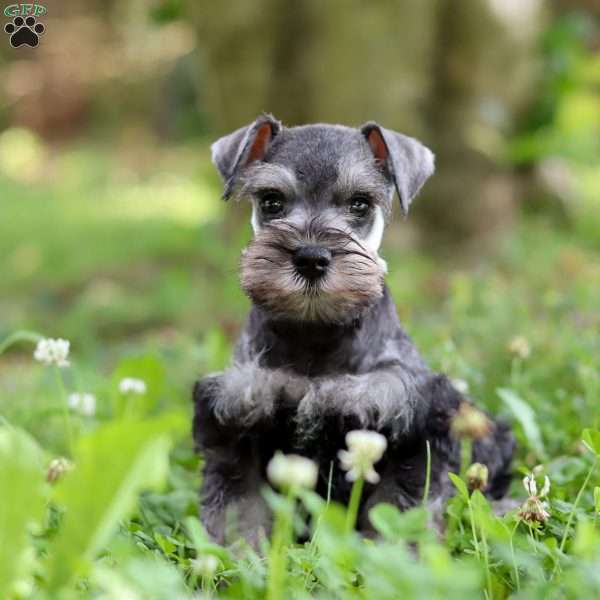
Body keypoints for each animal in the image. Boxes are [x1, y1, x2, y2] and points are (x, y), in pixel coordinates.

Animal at [193, 111, 516, 544]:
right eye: (272, 201)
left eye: (360, 203)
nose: (311, 258)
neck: (316, 334)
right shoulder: (234, 416)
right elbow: (239, 509)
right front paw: (238, 556)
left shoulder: (412, 423)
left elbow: (397, 506)